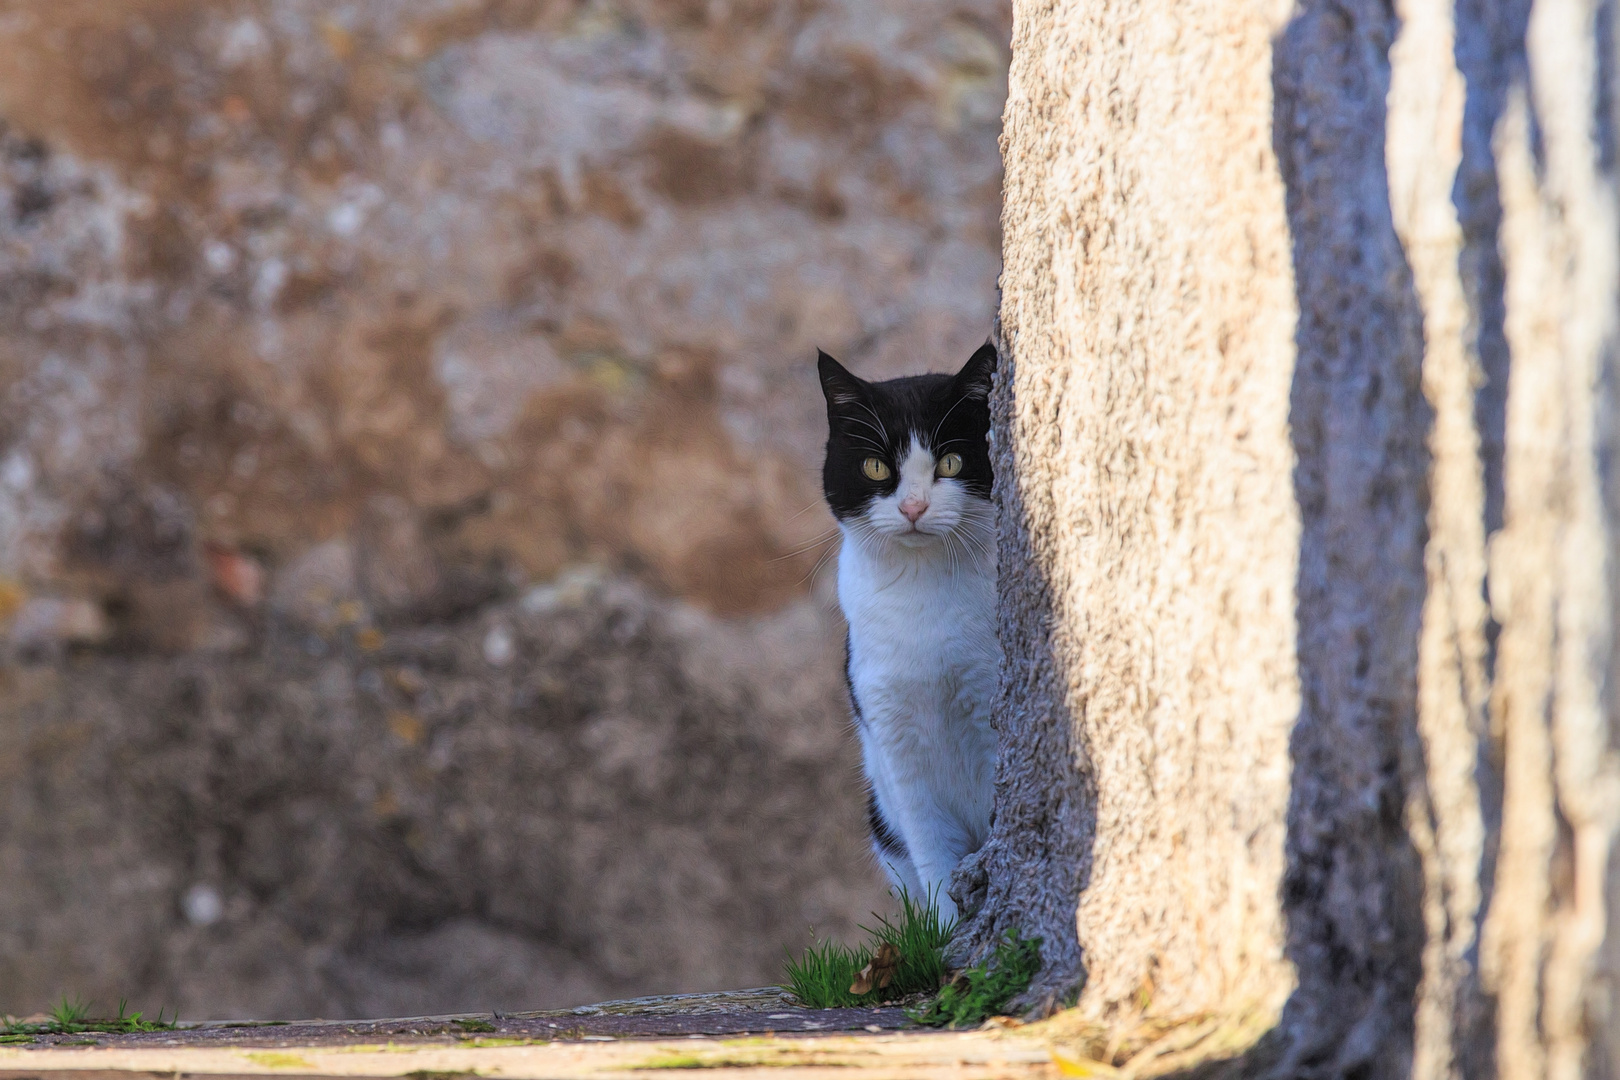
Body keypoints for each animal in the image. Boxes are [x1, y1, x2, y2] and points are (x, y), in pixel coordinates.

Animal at [816, 341, 991, 919]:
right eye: (875, 466)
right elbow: (930, 843)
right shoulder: (893, 733)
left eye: (950, 462)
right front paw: (950, 926)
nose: (914, 506)